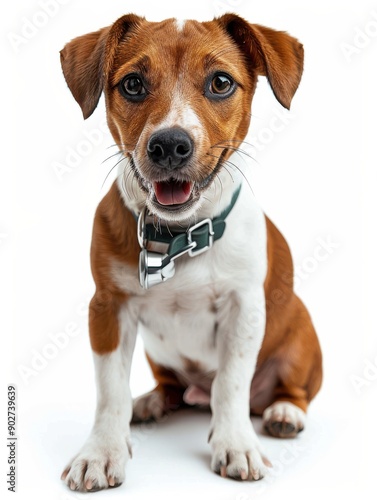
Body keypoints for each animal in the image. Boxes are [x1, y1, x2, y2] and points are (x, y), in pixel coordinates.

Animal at [58, 12, 320, 492]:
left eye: (220, 82)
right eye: (133, 84)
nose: (169, 145)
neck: (179, 238)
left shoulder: (244, 309)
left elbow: (231, 383)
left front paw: (235, 443)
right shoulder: (107, 308)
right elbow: (110, 390)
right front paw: (101, 451)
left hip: (301, 342)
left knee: (284, 390)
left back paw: (283, 412)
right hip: (157, 354)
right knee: (173, 387)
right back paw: (153, 401)